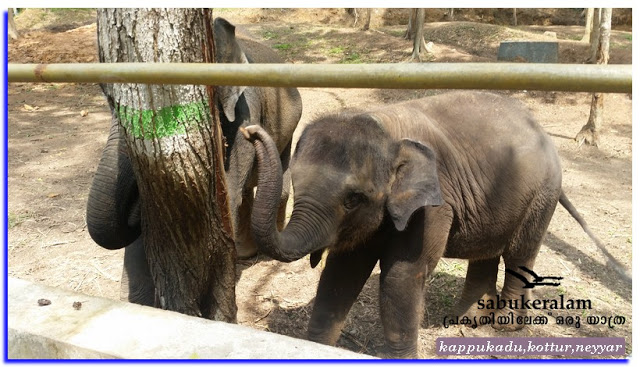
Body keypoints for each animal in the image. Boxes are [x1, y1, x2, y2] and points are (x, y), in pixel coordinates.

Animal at [85, 17, 302, 306]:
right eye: (108, 98)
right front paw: (137, 302)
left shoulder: (245, 114)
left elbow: (228, 194)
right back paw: (244, 253)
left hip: (289, 124)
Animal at [241, 92, 620, 360]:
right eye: (296, 181)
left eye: (353, 198)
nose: (249, 131)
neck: (387, 131)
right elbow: (341, 272)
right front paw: (317, 348)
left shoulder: (434, 206)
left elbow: (402, 276)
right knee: (487, 253)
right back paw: (467, 320)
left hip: (542, 193)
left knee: (519, 254)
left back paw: (503, 328)